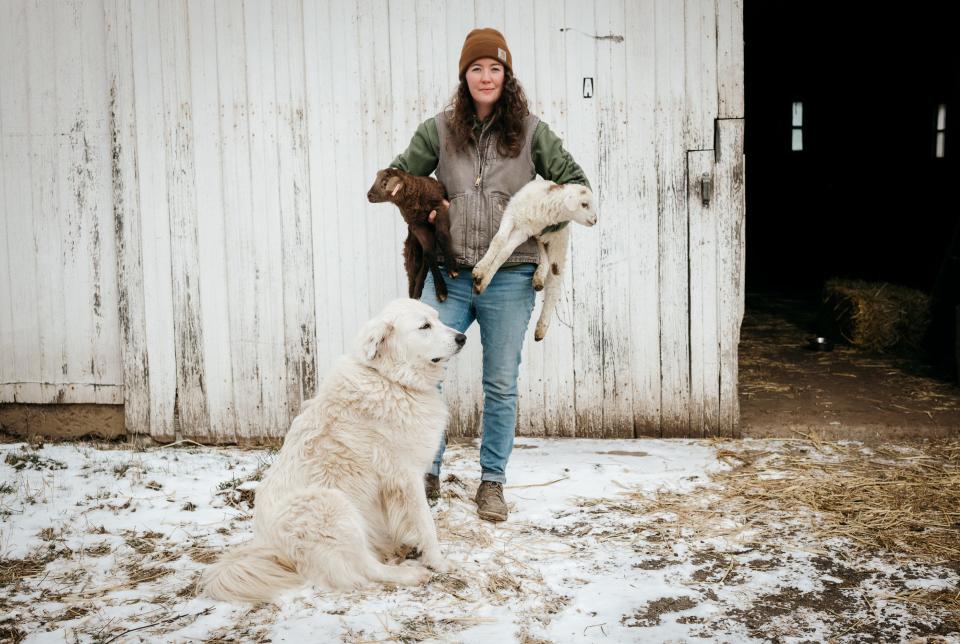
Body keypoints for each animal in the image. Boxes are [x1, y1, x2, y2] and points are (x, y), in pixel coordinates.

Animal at [204, 300, 466, 600]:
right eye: (424, 326)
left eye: (438, 318)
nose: (462, 338)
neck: (389, 379)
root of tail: (270, 550)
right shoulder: (406, 477)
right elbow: (426, 524)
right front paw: (439, 562)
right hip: (333, 505)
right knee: (363, 568)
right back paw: (409, 574)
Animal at [366, 169, 460, 304]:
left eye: (384, 183)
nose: (368, 195)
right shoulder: (416, 225)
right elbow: (429, 252)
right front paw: (441, 290)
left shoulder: (439, 207)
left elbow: (441, 235)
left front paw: (452, 269)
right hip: (411, 256)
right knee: (413, 278)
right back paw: (414, 297)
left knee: (422, 269)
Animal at [470, 180, 596, 342]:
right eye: (584, 204)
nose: (595, 220)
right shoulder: (512, 215)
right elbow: (499, 240)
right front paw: (481, 271)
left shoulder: (524, 231)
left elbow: (505, 253)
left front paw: (483, 279)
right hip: (539, 239)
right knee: (545, 261)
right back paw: (538, 279)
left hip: (558, 246)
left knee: (554, 286)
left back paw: (541, 328)